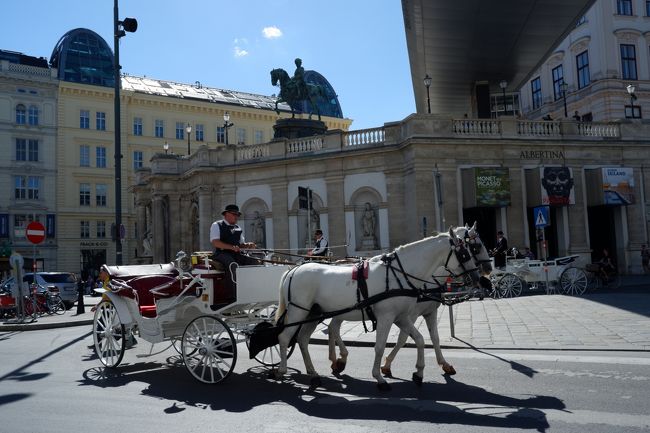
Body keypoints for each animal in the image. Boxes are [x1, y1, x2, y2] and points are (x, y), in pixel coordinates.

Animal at [270, 228, 478, 390]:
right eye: (465, 253)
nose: (477, 277)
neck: (399, 274)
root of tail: (293, 269)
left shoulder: (402, 317)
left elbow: (419, 339)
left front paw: (419, 373)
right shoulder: (387, 317)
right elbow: (379, 346)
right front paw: (379, 377)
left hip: (313, 313)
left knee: (303, 339)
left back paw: (314, 373)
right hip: (299, 311)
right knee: (285, 337)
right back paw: (281, 370)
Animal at [326, 221, 488, 376]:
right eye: (475, 247)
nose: (482, 275)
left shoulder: (429, 312)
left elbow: (434, 338)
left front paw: (444, 364)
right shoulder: (410, 314)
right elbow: (403, 338)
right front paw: (387, 365)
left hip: (341, 312)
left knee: (332, 327)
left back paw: (336, 359)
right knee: (333, 327)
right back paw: (339, 358)